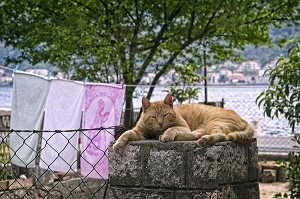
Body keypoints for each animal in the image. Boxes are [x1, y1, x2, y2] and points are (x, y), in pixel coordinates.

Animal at [112, 93, 253, 149]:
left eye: (165, 115)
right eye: (154, 117)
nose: (160, 123)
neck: (155, 131)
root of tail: (242, 119)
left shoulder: (183, 126)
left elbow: (172, 128)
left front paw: (167, 134)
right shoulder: (139, 132)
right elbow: (126, 133)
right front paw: (118, 143)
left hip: (213, 123)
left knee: (222, 135)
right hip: (201, 129)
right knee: (194, 135)